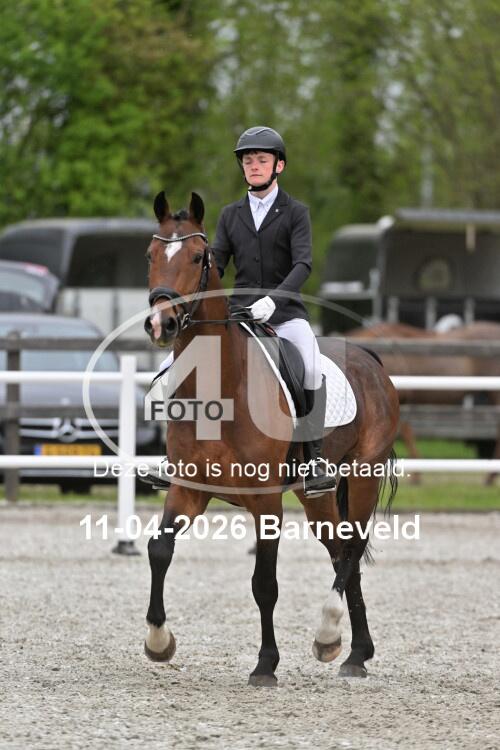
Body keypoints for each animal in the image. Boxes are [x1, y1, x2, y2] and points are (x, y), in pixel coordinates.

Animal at [142, 191, 400, 686]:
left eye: (198, 256)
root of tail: (370, 358)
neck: (223, 386)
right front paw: (159, 642)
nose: (162, 323)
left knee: (352, 549)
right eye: (150, 254)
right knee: (340, 552)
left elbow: (264, 584)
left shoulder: (266, 503)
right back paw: (355, 653)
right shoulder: (188, 489)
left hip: (363, 475)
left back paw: (328, 636)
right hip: (317, 495)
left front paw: (266, 664)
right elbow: (159, 549)